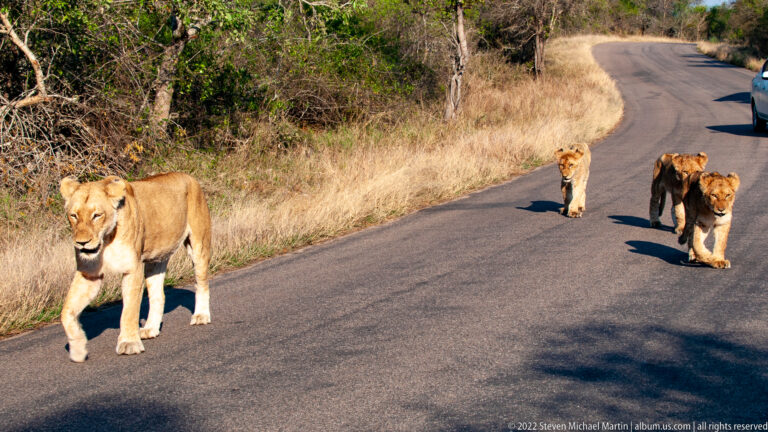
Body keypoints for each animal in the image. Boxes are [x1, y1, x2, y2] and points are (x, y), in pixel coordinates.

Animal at [59, 172, 212, 362]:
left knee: (201, 283)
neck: (106, 240)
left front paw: (129, 343)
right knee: (158, 295)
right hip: (156, 260)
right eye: (73, 215)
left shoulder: (133, 269)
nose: (81, 242)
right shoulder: (89, 274)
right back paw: (150, 329)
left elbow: (129, 311)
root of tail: (189, 176)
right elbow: (66, 312)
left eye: (97, 215)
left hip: (198, 245)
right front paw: (78, 349)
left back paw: (201, 315)